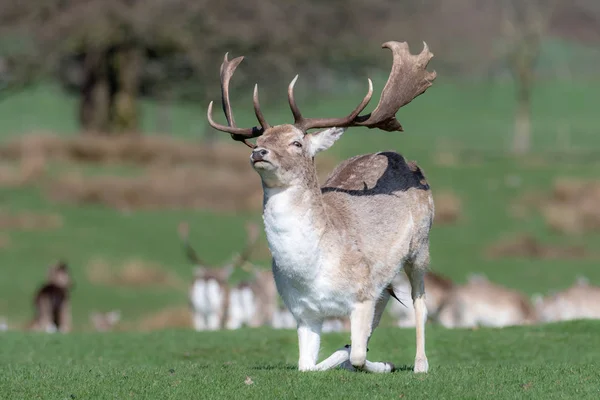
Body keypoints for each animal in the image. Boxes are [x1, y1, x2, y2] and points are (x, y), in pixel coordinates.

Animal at [206, 40, 436, 372]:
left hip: (421, 247)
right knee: (385, 303)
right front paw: (343, 355)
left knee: (420, 301)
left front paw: (380, 363)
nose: (258, 153)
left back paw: (420, 364)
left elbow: (359, 355)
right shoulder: (303, 311)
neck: (313, 272)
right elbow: (307, 364)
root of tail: (404, 159)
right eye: (261, 139)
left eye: (297, 143)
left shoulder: (362, 293)